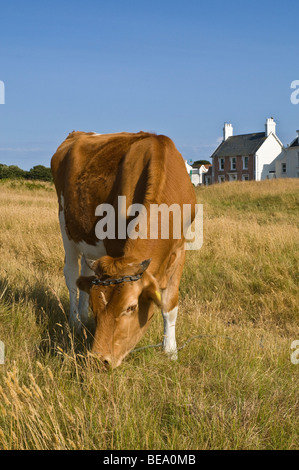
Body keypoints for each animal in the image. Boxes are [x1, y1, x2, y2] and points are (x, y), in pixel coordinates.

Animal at [51, 130, 197, 370]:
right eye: (96, 307)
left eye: (130, 307)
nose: (99, 360)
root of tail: (78, 134)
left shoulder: (180, 249)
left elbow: (170, 304)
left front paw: (170, 351)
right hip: (66, 225)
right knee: (71, 276)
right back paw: (75, 322)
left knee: (85, 275)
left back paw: (82, 317)